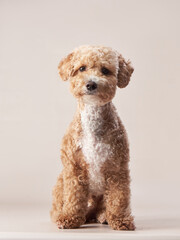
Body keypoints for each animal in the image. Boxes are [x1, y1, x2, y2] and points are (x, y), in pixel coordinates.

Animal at [50, 45, 135, 231]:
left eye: (105, 70)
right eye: (82, 68)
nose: (91, 84)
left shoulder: (117, 169)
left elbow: (119, 198)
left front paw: (120, 220)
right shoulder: (73, 168)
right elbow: (74, 196)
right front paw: (70, 218)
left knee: (100, 208)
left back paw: (102, 216)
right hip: (60, 181)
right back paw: (62, 215)